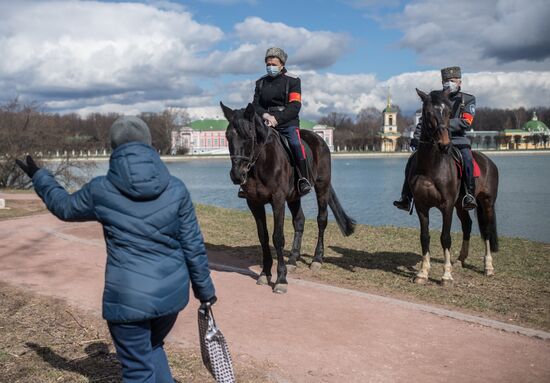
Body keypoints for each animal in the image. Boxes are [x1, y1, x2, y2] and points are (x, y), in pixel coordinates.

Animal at [221, 101, 358, 294]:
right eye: (227, 136)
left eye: (248, 136)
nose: (236, 175)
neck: (261, 162)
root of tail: (319, 139)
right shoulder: (254, 202)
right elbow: (263, 236)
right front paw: (265, 272)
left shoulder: (278, 200)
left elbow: (277, 237)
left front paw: (281, 278)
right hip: (294, 197)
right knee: (299, 221)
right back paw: (293, 259)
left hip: (322, 187)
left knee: (321, 220)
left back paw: (317, 259)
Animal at [410, 88, 500, 284]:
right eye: (427, 113)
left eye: (449, 112)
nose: (444, 144)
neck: (432, 165)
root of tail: (488, 160)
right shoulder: (421, 206)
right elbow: (425, 237)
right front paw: (423, 272)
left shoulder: (447, 206)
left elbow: (445, 237)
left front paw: (446, 275)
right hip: (461, 205)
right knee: (467, 225)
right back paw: (460, 259)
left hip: (486, 203)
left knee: (487, 231)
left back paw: (488, 266)